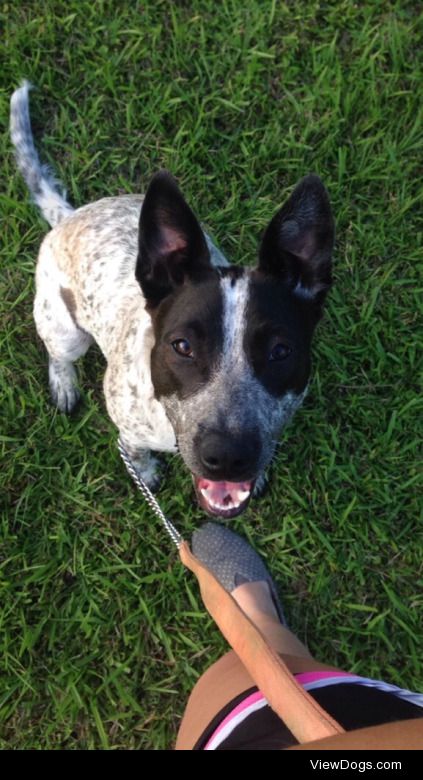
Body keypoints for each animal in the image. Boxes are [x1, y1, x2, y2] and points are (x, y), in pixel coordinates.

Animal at [10, 80, 334, 516]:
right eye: (182, 346)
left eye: (280, 351)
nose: (227, 456)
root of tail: (68, 215)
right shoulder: (128, 422)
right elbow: (132, 449)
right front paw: (144, 470)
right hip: (66, 330)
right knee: (58, 353)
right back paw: (64, 382)